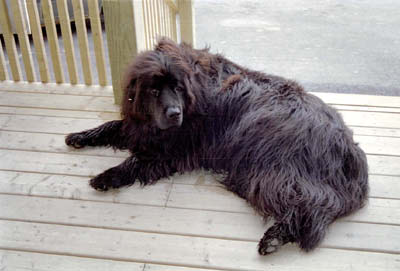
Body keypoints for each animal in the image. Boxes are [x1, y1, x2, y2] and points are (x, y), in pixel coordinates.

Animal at [65, 37, 368, 255]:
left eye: (177, 88)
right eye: (154, 91)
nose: (174, 113)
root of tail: (348, 148)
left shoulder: (179, 148)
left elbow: (138, 161)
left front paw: (106, 176)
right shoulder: (143, 126)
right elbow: (113, 127)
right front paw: (80, 136)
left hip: (274, 167)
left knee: (313, 205)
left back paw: (276, 237)